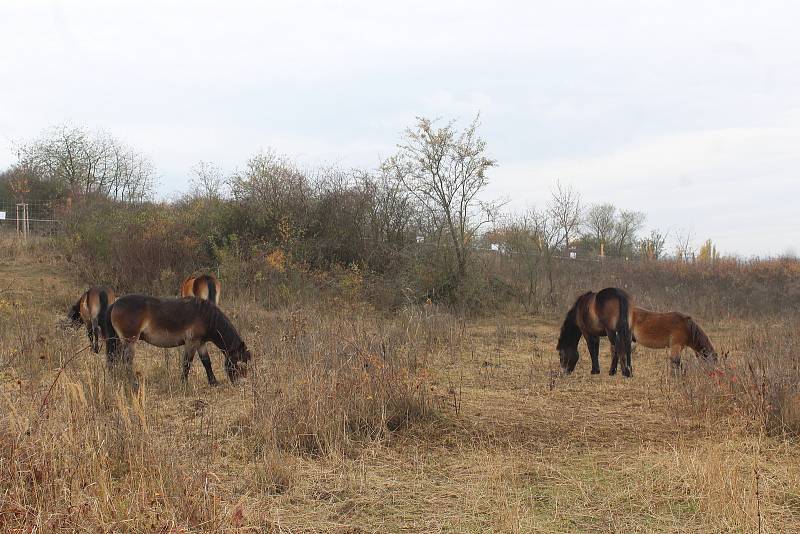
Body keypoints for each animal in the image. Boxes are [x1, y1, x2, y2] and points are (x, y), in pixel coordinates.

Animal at [102, 296, 250, 388]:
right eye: (239, 362)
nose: (242, 383)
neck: (206, 316)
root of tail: (115, 304)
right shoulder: (191, 342)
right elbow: (186, 363)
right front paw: (184, 384)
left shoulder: (200, 343)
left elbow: (206, 362)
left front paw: (214, 383)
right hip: (129, 341)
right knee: (126, 361)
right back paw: (133, 384)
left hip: (117, 341)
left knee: (113, 360)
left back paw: (115, 380)